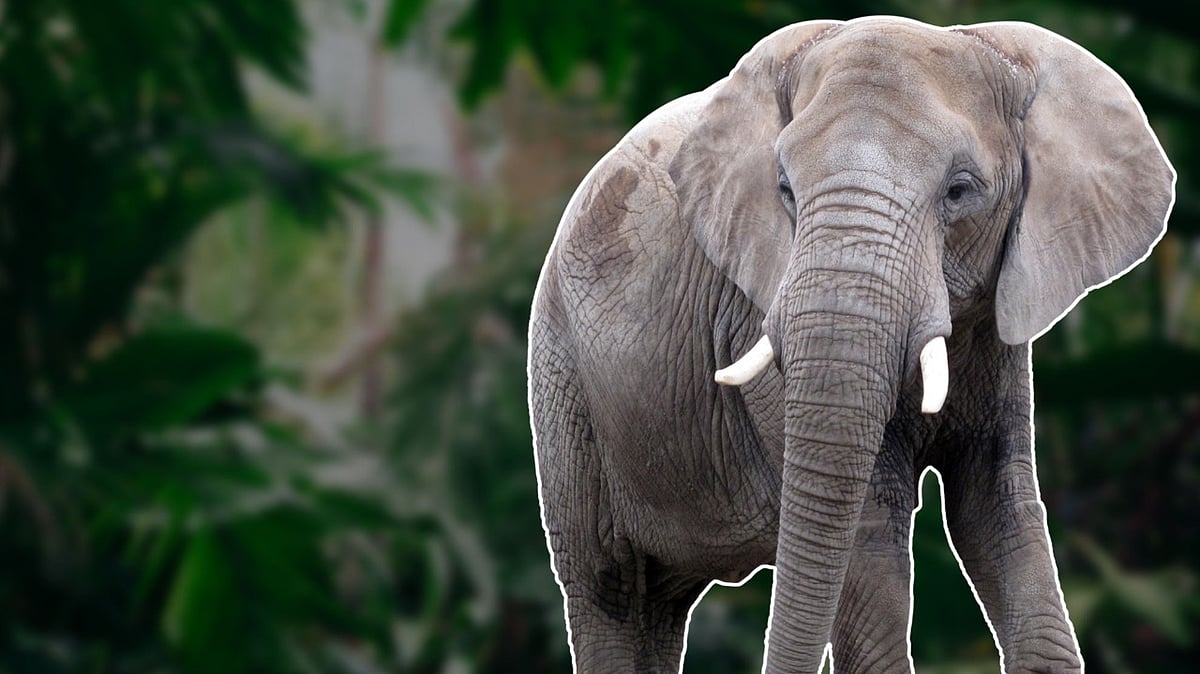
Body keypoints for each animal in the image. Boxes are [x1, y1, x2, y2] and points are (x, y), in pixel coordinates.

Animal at [526, 16, 1175, 674]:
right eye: (785, 189)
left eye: (960, 190)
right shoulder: (757, 313)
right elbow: (868, 529)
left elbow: (998, 509)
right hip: (562, 370)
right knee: (608, 587)